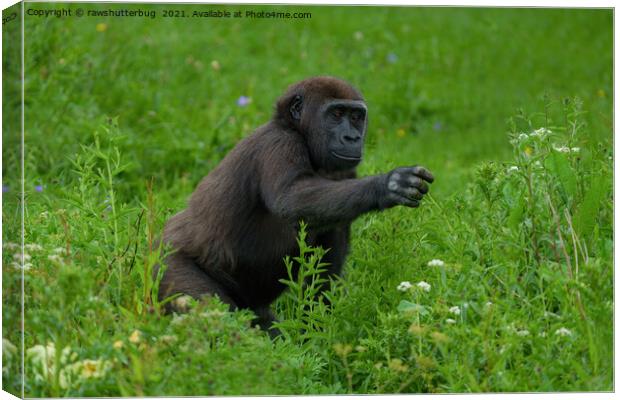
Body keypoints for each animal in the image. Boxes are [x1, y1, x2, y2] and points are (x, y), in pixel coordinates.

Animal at [157, 76, 434, 334]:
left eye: (356, 116)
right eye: (336, 114)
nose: (352, 137)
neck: (295, 129)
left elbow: (323, 278)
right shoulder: (280, 143)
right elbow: (290, 197)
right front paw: (386, 185)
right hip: (167, 263)